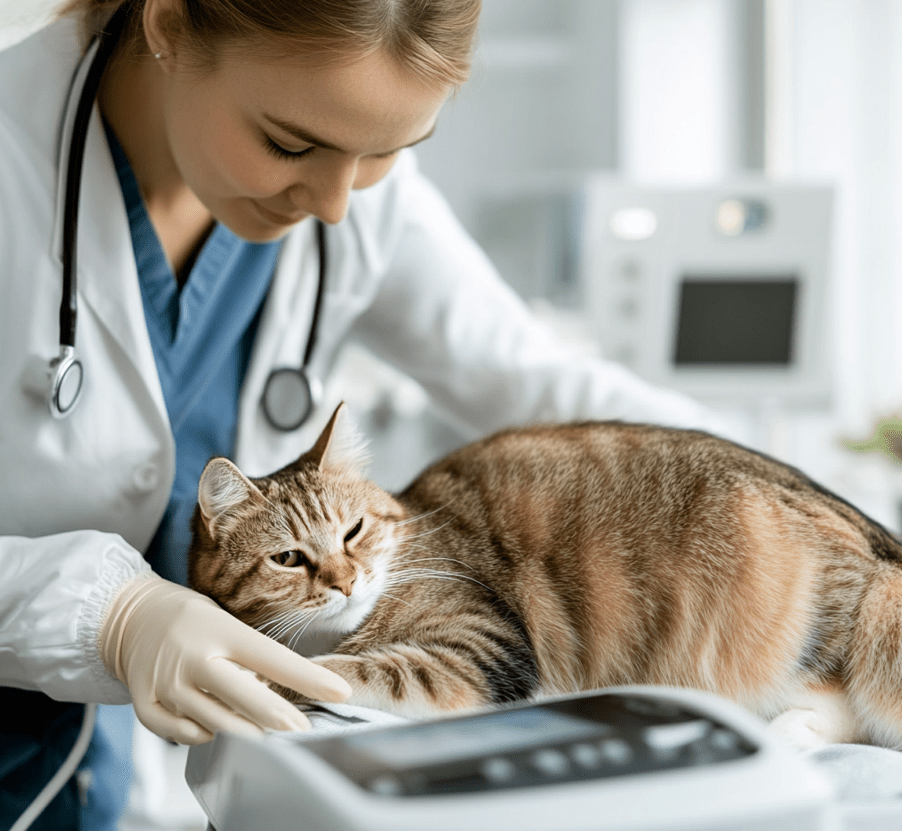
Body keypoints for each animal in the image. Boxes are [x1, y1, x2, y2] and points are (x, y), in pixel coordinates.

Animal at [187, 404, 902, 748]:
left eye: (353, 530)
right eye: (288, 558)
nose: (345, 583)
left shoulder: (482, 647)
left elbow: (351, 669)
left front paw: (276, 675)